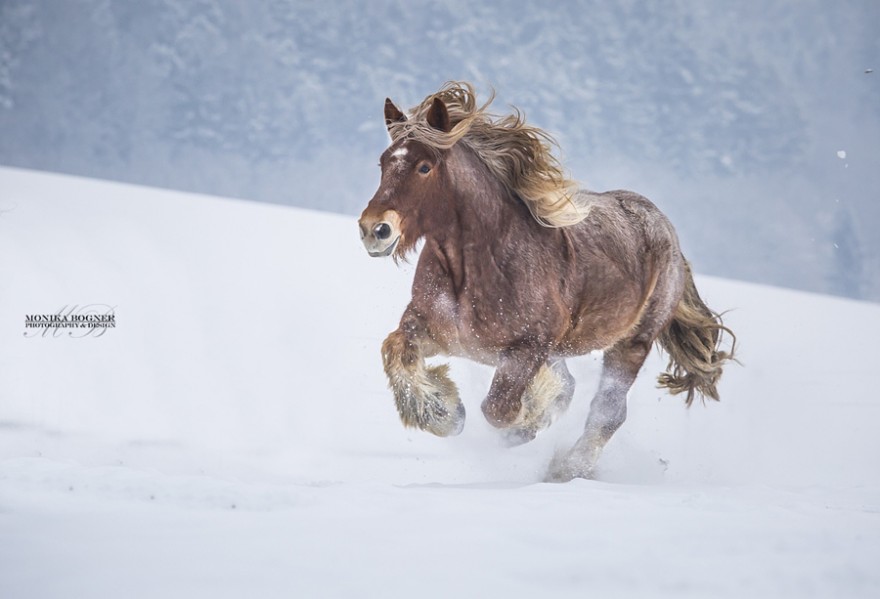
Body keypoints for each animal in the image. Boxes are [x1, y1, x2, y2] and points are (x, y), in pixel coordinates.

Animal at [358, 82, 736, 482]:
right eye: (383, 163)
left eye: (424, 166)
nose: (374, 230)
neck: (477, 268)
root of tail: (667, 231)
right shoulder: (432, 328)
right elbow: (394, 351)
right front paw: (444, 413)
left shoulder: (529, 348)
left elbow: (499, 409)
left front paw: (529, 418)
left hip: (633, 343)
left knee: (608, 411)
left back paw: (567, 468)